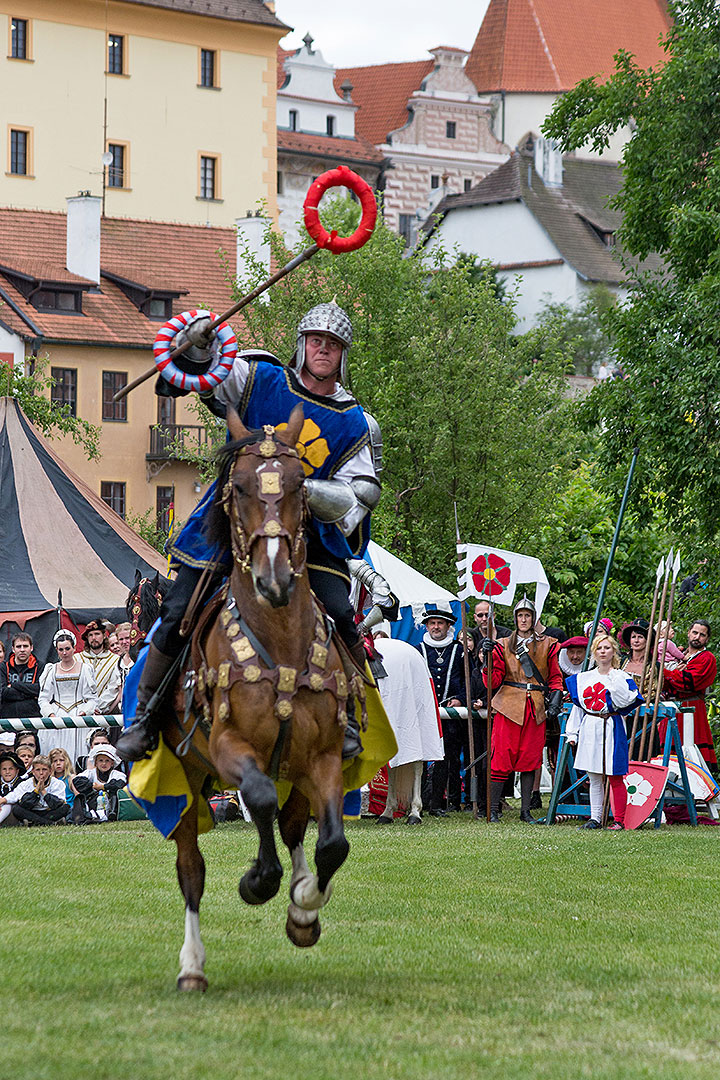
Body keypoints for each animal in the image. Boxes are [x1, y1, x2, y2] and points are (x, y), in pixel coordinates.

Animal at [164, 403, 354, 989]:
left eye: (298, 485)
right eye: (241, 486)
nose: (274, 579)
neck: (280, 640)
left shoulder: (323, 757)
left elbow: (331, 842)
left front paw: (305, 905)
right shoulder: (229, 749)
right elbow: (261, 800)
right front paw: (259, 882)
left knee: (293, 825)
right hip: (186, 778)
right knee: (192, 868)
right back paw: (192, 966)